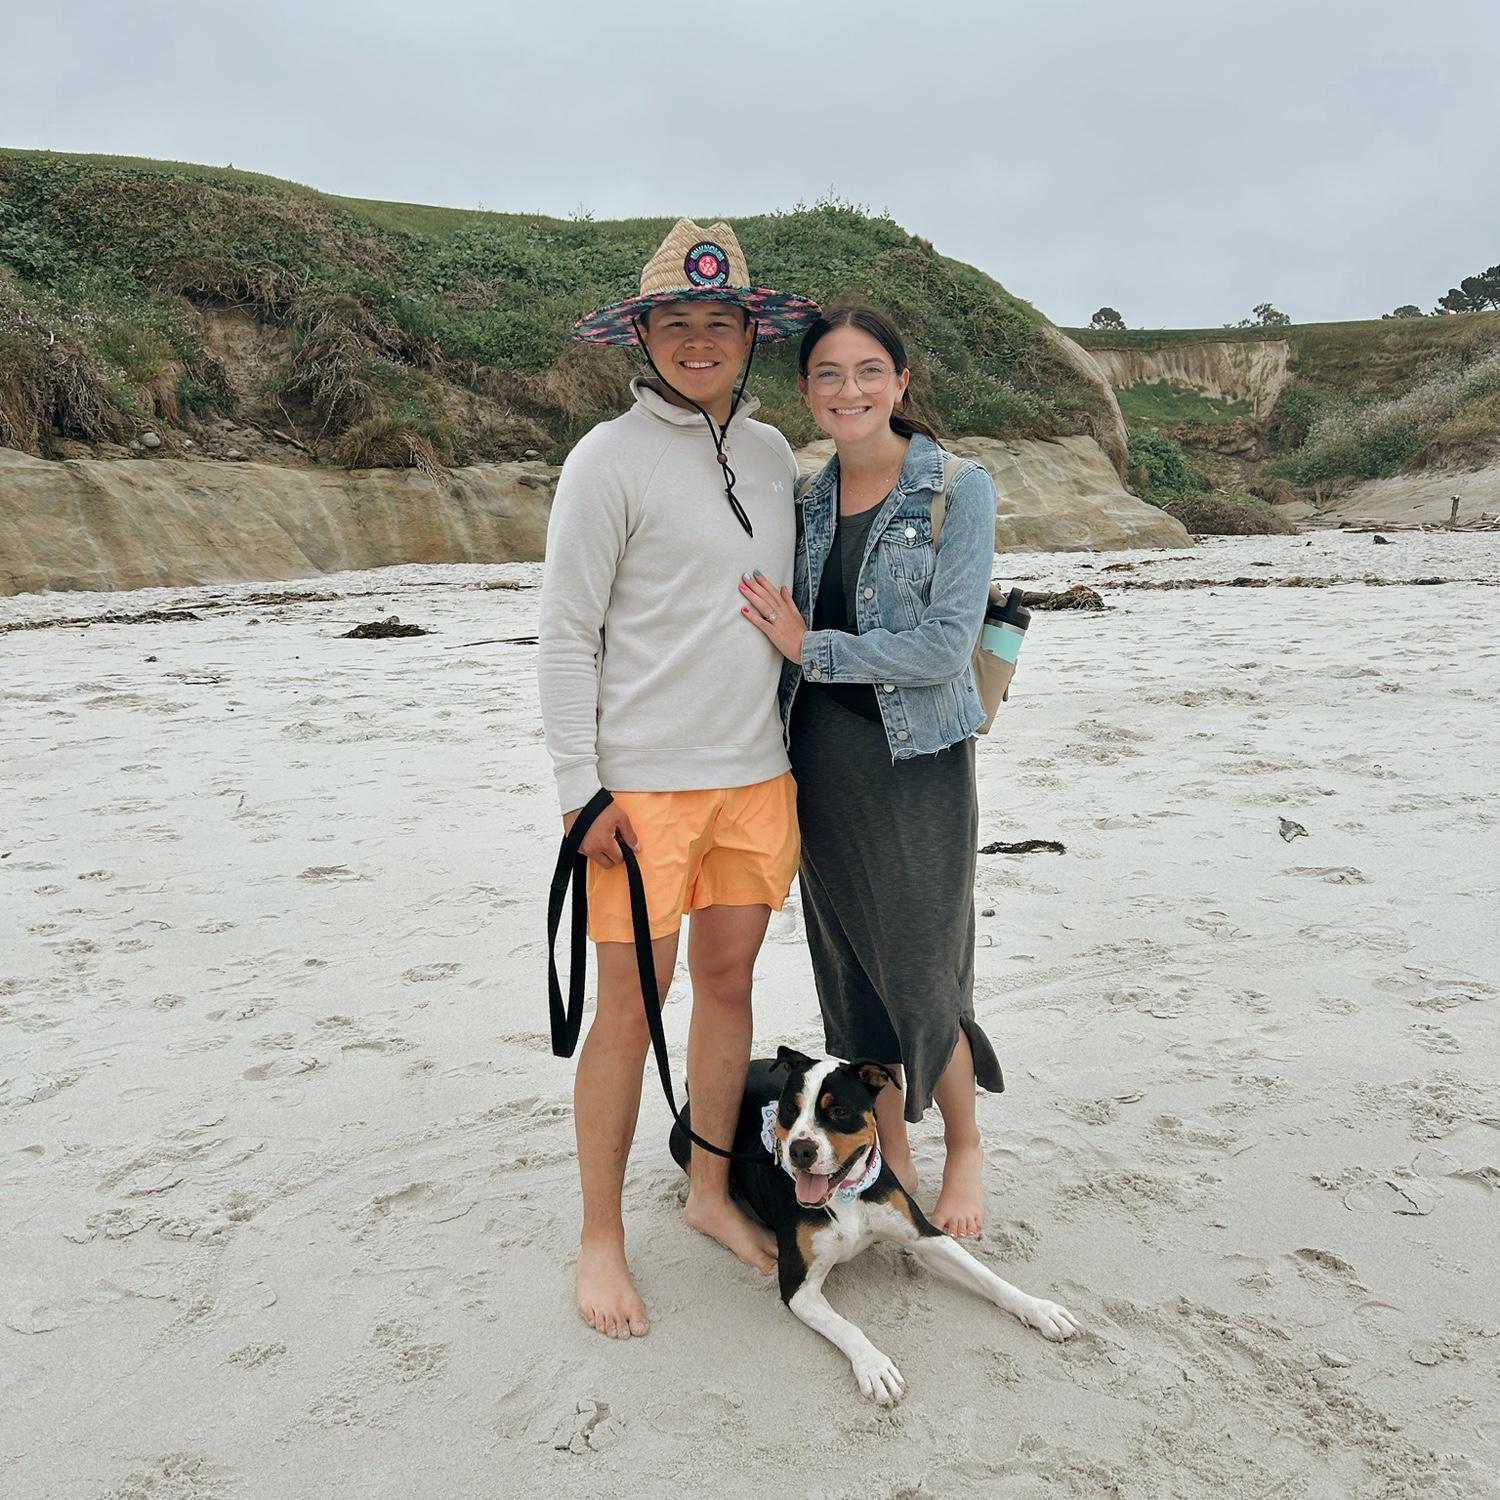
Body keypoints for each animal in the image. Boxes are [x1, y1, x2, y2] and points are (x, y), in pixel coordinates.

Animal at [669, 1047, 1083, 1403]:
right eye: (789, 1108)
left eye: (839, 1111)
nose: (801, 1150)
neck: (845, 1195)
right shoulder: (798, 1288)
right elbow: (847, 1327)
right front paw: (874, 1365)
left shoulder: (926, 1236)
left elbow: (988, 1277)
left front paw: (1039, 1309)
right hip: (691, 1146)